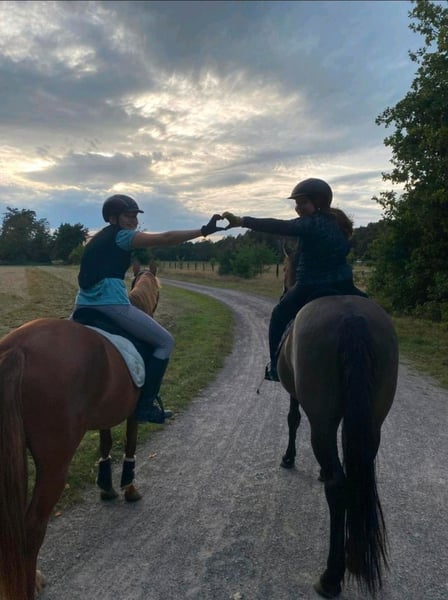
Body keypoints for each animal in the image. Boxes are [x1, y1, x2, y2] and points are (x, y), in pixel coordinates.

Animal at [0, 265, 161, 600]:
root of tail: (17, 348)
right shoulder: (133, 413)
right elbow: (130, 443)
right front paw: (129, 488)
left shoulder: (105, 414)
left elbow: (106, 443)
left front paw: (106, 487)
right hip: (54, 464)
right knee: (31, 530)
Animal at [276, 253, 399, 598]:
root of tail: (352, 320)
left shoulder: (299, 397)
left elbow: (293, 419)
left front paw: (289, 458)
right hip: (374, 421)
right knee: (358, 478)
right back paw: (356, 557)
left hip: (323, 420)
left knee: (338, 486)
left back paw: (331, 576)